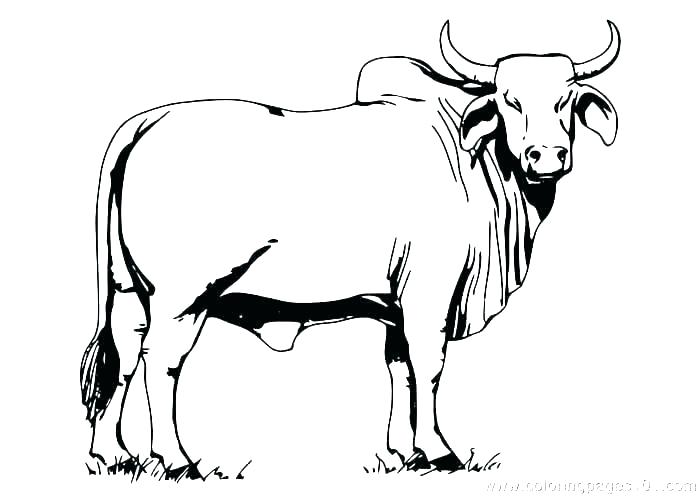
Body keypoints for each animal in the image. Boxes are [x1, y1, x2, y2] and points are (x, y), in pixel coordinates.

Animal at [80, 21, 620, 478]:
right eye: (509, 100)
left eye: (567, 99)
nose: (546, 156)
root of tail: (149, 120)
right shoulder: (430, 292)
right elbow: (428, 365)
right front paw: (439, 450)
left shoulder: (396, 304)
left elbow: (399, 368)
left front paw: (404, 453)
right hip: (184, 297)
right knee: (160, 363)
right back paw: (175, 459)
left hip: (128, 291)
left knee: (121, 359)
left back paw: (113, 454)